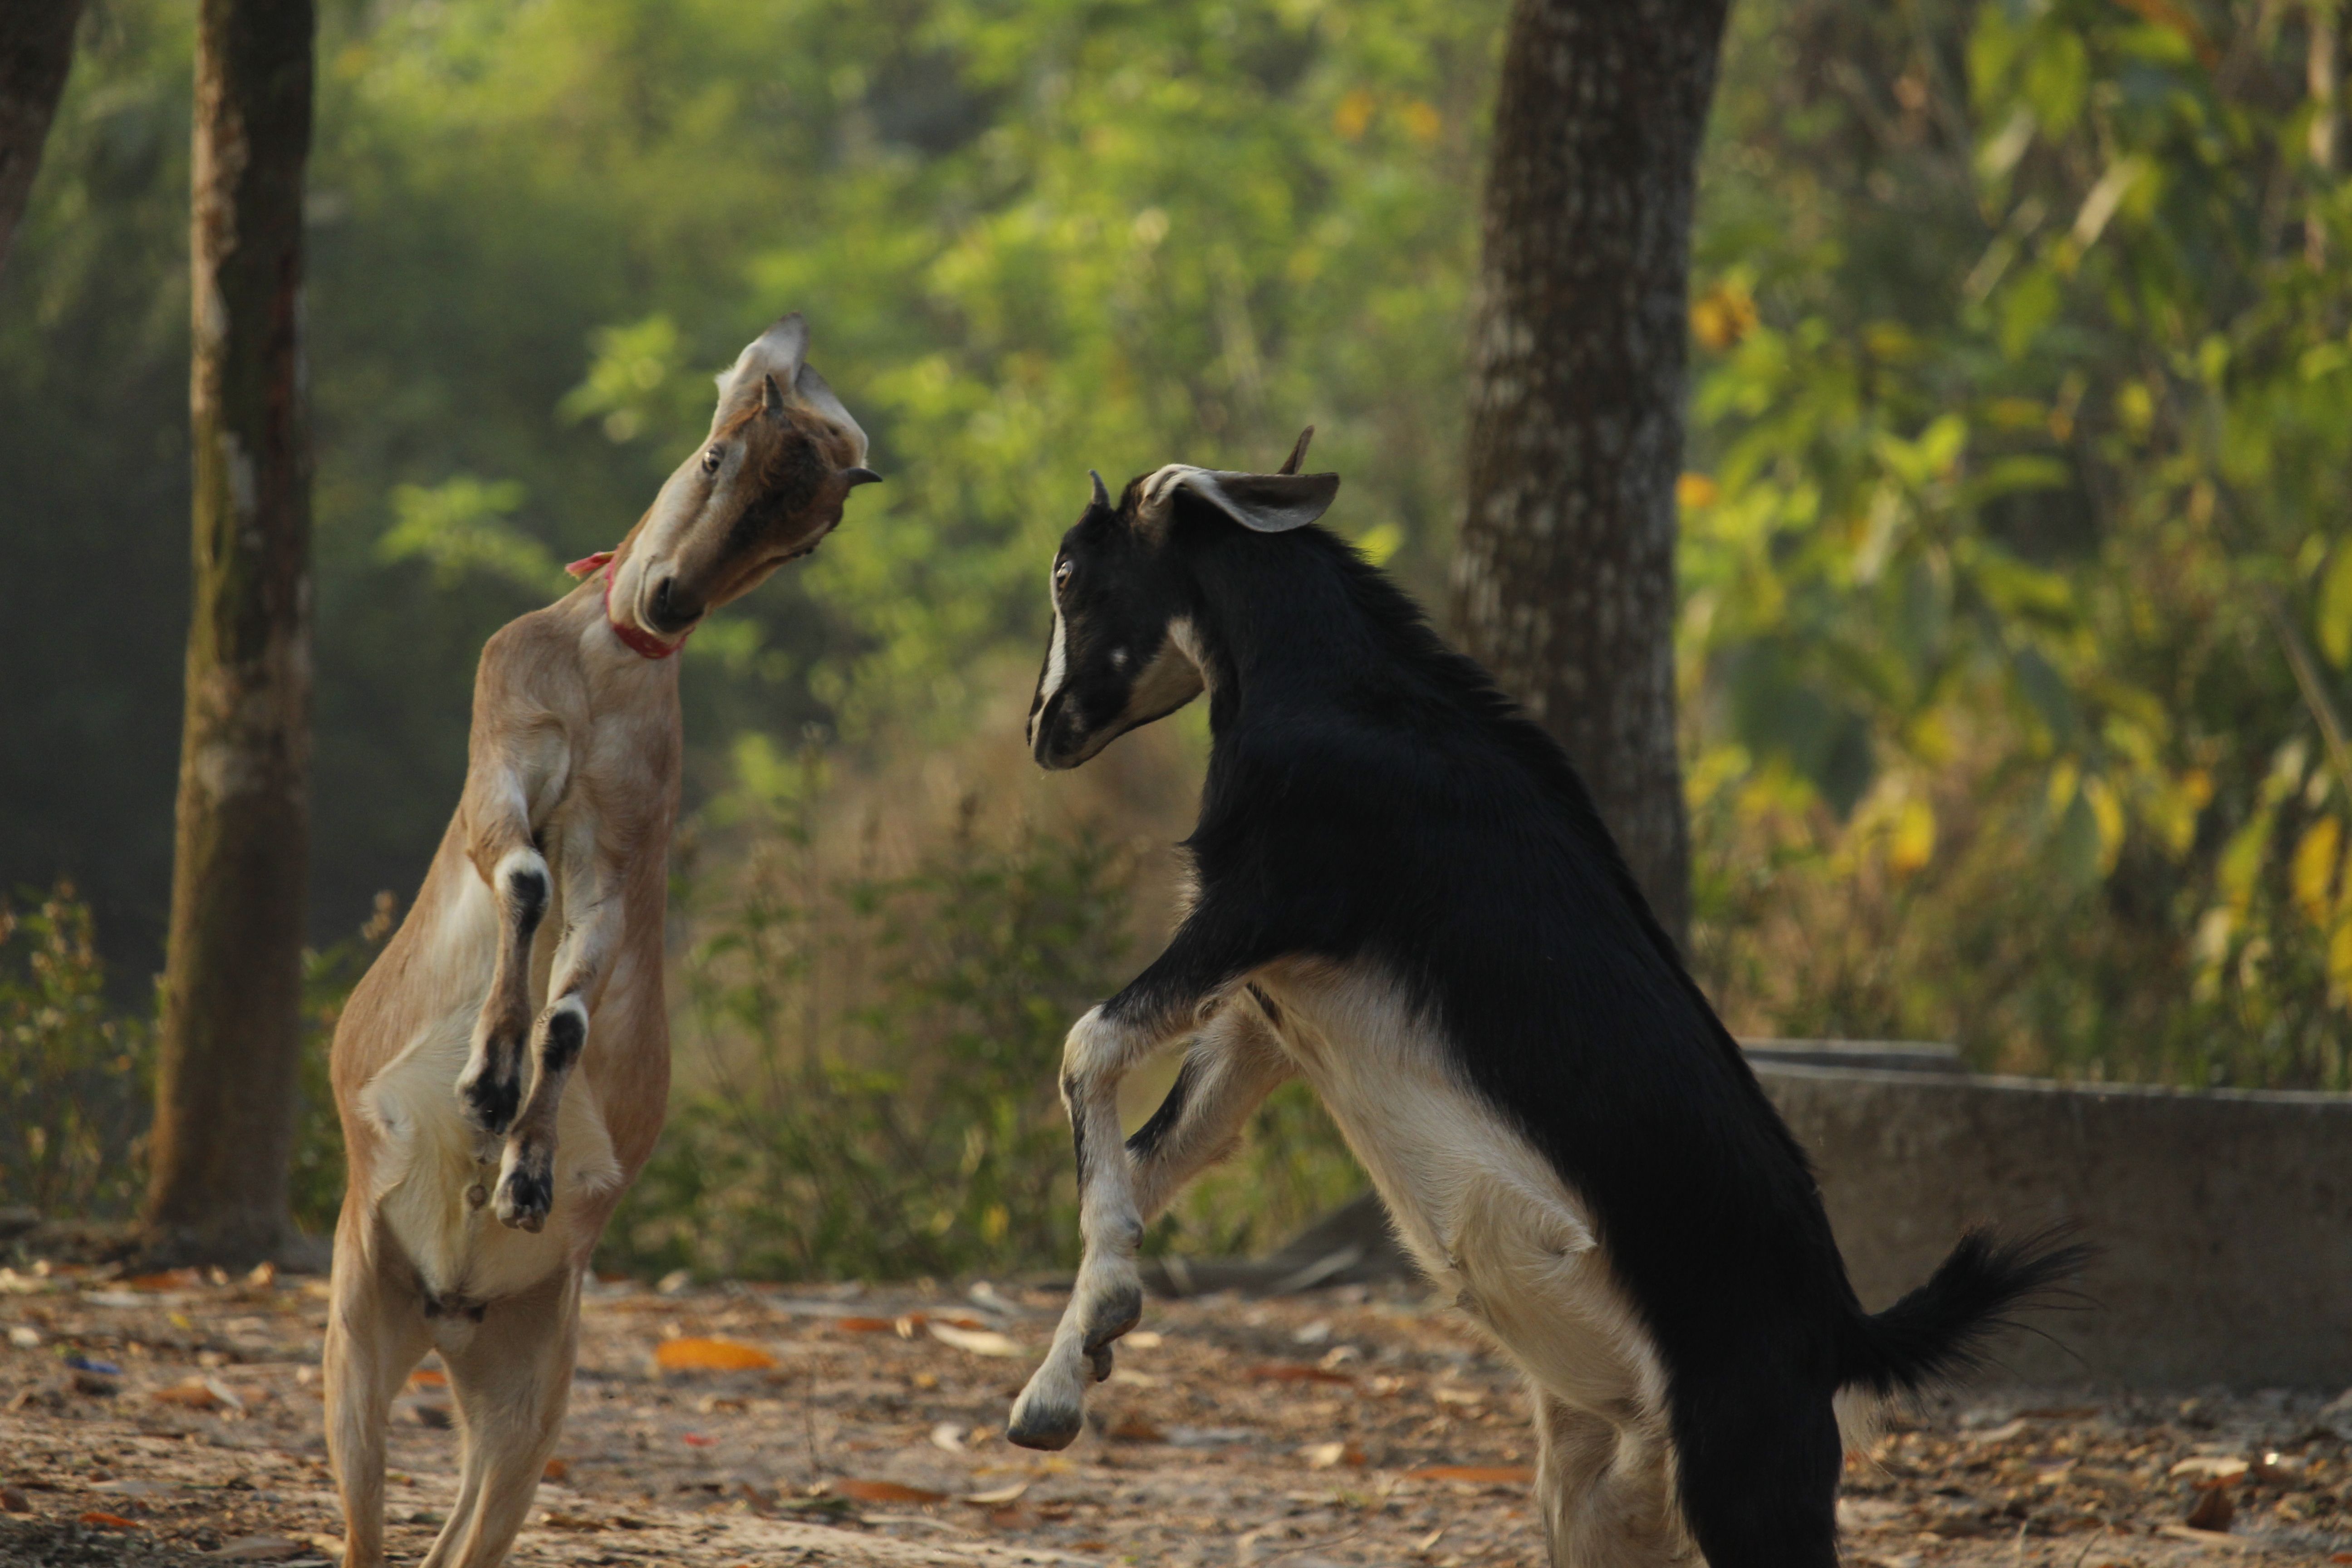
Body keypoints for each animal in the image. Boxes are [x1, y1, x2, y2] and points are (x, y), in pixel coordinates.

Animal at [323, 315, 876, 1568]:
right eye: (719, 453)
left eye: (809, 531)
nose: (669, 601)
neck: (598, 671)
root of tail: (449, 1309)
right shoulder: (503, 765)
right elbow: (523, 877)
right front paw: (483, 1084)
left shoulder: (621, 858)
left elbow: (575, 1004)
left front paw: (521, 1165)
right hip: (355, 1322)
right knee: (371, 1519)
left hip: (533, 1384)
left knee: (466, 1528)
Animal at [1006, 431, 2083, 1568]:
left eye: (1069, 574)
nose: (1040, 729)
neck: (1329, 685)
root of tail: (1844, 1334)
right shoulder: (1273, 1010)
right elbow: (1165, 1149)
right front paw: (1057, 1389)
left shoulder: (1271, 901)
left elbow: (1087, 1045)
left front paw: (1101, 1325)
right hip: (1608, 1487)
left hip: (1750, 1472)